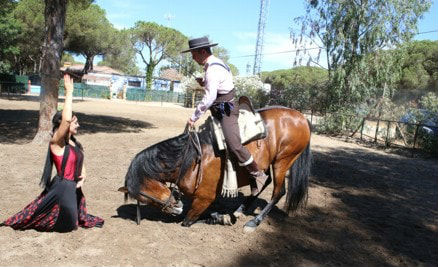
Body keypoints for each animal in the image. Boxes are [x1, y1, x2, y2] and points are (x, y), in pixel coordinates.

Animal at [119, 107, 312, 232]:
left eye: (144, 197)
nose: (174, 208)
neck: (189, 159)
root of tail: (300, 117)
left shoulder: (204, 199)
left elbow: (188, 222)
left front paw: (221, 218)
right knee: (263, 183)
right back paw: (240, 209)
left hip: (282, 161)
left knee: (278, 192)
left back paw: (254, 222)